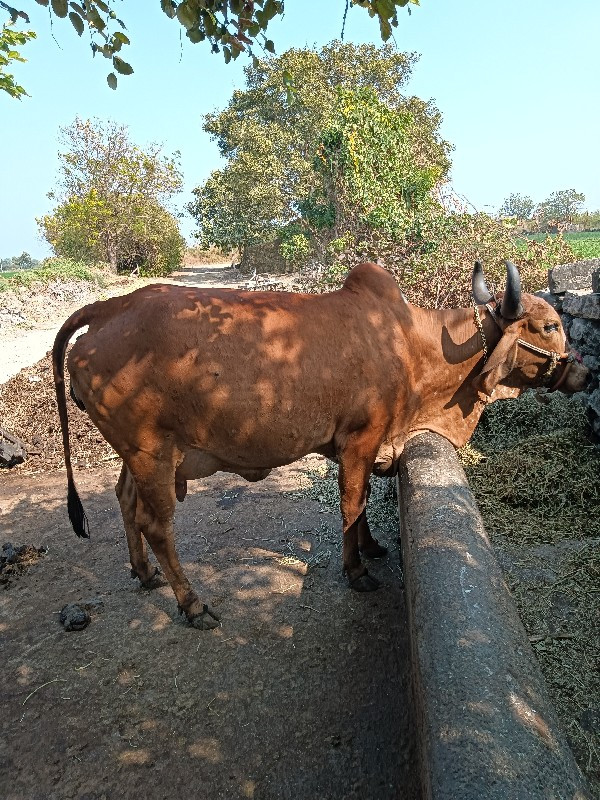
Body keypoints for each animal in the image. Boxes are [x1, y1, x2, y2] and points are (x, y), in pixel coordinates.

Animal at [51, 260, 584, 628]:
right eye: (551, 325)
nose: (584, 372)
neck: (412, 344)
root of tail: (109, 307)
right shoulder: (359, 439)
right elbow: (352, 503)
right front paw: (356, 569)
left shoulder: (365, 445)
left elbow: (362, 500)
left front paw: (371, 546)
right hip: (151, 452)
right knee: (156, 525)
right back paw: (193, 603)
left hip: (140, 455)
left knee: (124, 500)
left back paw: (144, 574)